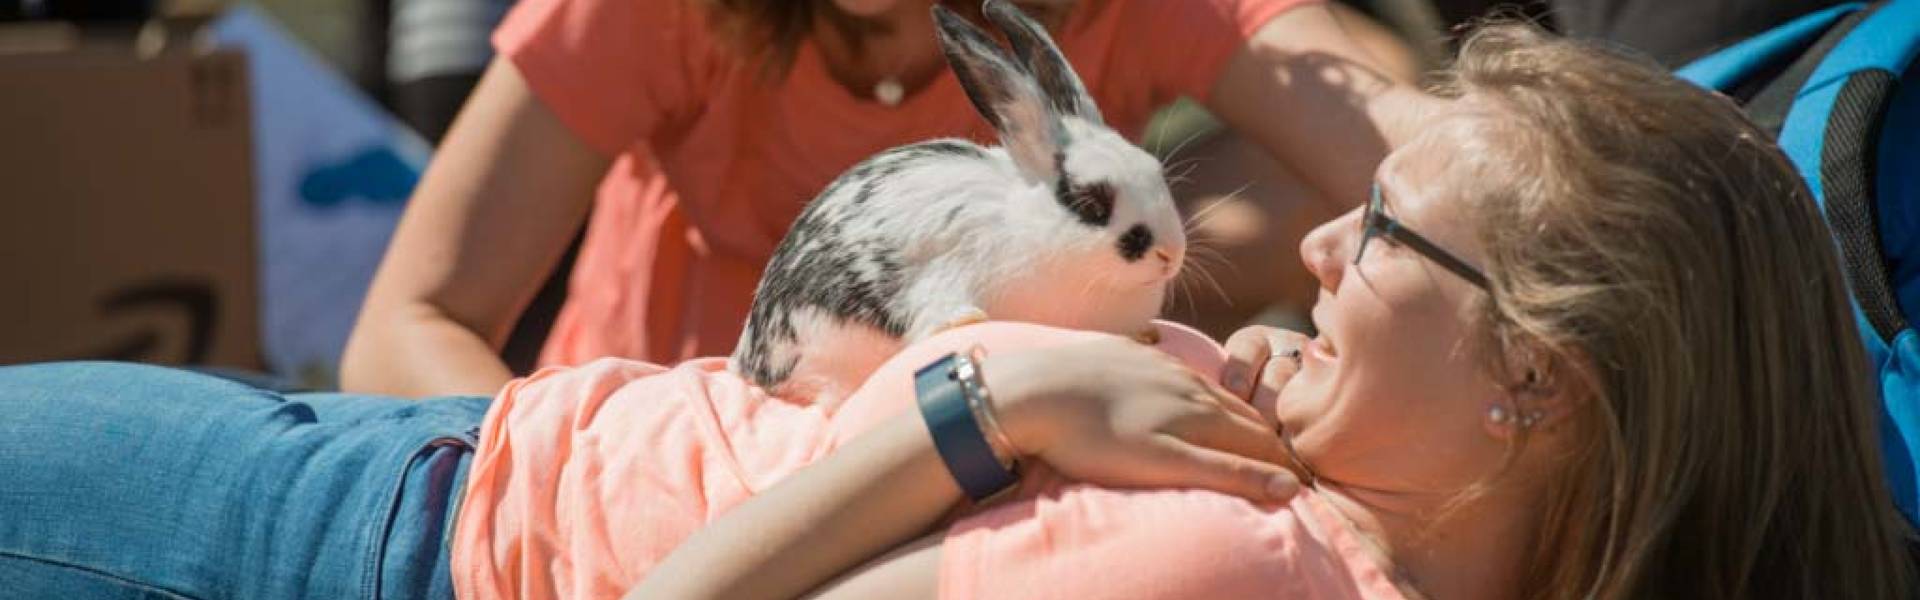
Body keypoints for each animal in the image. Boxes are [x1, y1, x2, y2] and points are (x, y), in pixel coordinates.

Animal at [729, 1, 1182, 398]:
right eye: (1091, 204)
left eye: (1155, 171)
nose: (1170, 254)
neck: (1025, 226)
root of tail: (750, 356)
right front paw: (963, 319)